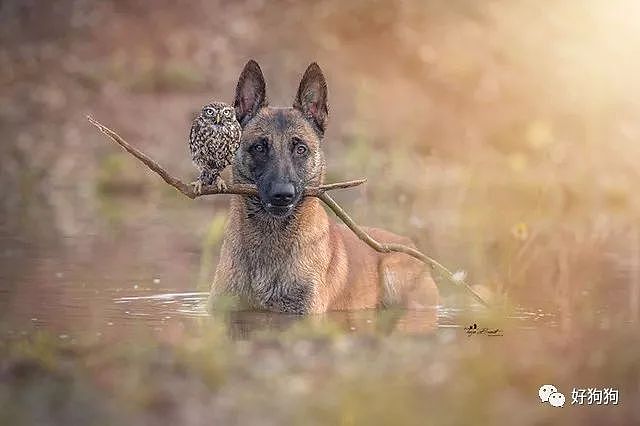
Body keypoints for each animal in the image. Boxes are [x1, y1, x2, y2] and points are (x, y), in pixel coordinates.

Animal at [210, 60, 440, 314]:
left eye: (300, 149)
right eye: (259, 147)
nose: (283, 195)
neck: (269, 237)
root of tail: (408, 242)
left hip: (394, 273)